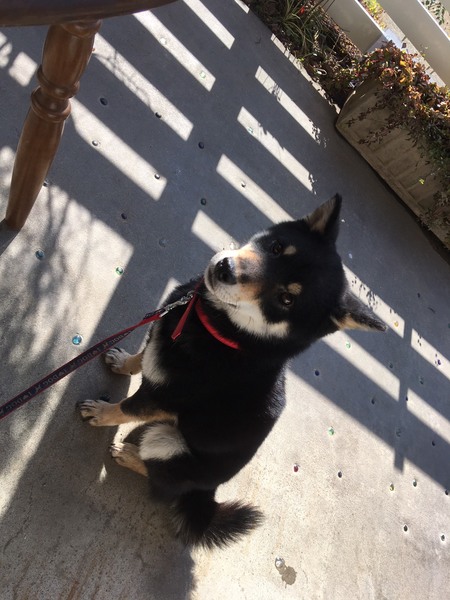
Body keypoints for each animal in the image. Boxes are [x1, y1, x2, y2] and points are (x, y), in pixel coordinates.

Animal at [78, 194, 386, 549]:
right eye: (277, 247)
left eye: (286, 299)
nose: (226, 269)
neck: (225, 333)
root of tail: (207, 494)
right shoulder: (162, 338)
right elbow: (143, 356)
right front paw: (123, 361)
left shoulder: (163, 397)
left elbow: (125, 408)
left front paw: (101, 413)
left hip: (167, 443)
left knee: (161, 481)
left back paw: (129, 455)